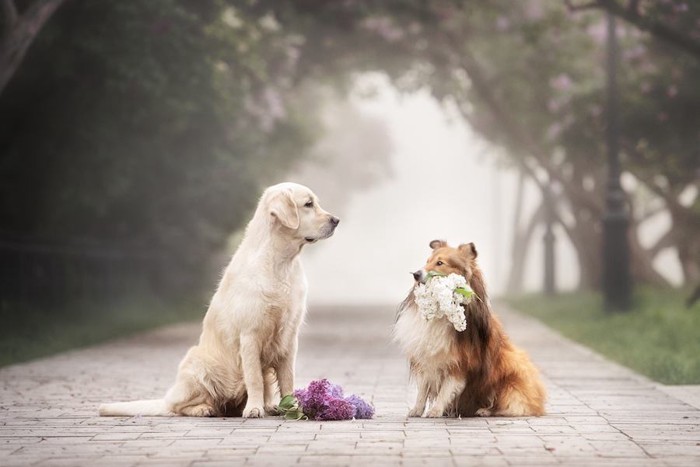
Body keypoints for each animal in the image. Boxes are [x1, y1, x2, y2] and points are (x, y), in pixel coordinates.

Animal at [98, 182, 340, 416]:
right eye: (308, 204)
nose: (336, 221)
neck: (281, 263)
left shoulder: (289, 336)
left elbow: (287, 378)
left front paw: (292, 408)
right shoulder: (250, 335)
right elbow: (254, 378)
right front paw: (254, 409)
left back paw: (269, 406)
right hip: (197, 364)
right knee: (178, 406)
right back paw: (205, 409)